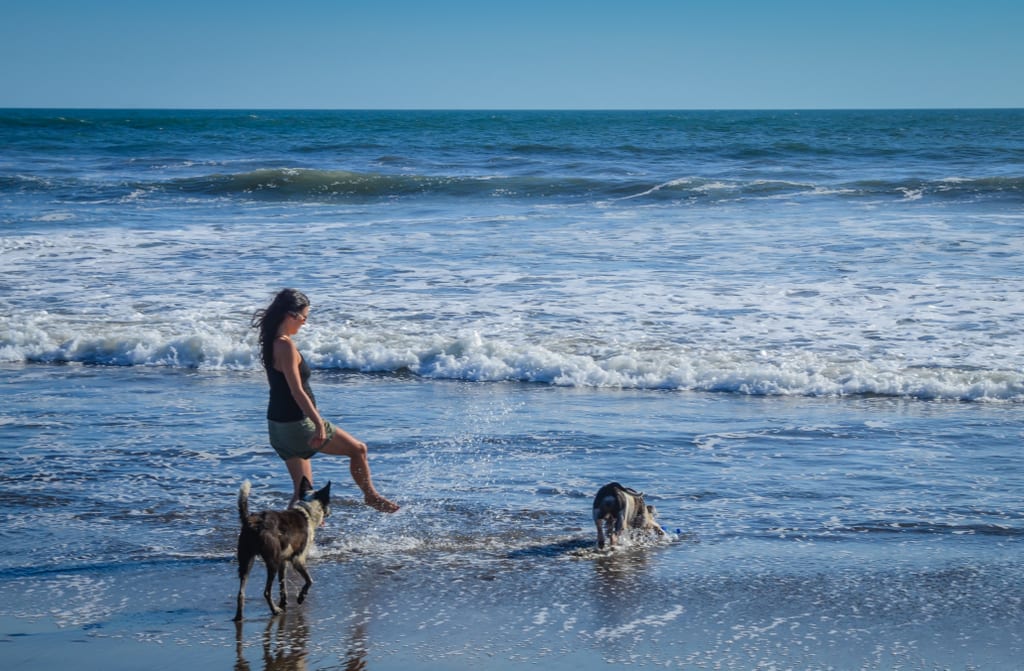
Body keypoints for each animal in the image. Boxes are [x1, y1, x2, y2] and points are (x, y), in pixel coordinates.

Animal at [233, 479, 329, 622]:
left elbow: (283, 585)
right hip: (272, 563)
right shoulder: (298, 559)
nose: (330, 513)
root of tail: (253, 522)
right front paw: (301, 597)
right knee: (266, 592)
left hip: (246, 561)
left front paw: (284, 602)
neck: (307, 510)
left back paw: (239, 616)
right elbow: (309, 580)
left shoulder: (283, 562)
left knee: (240, 593)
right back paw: (274, 610)